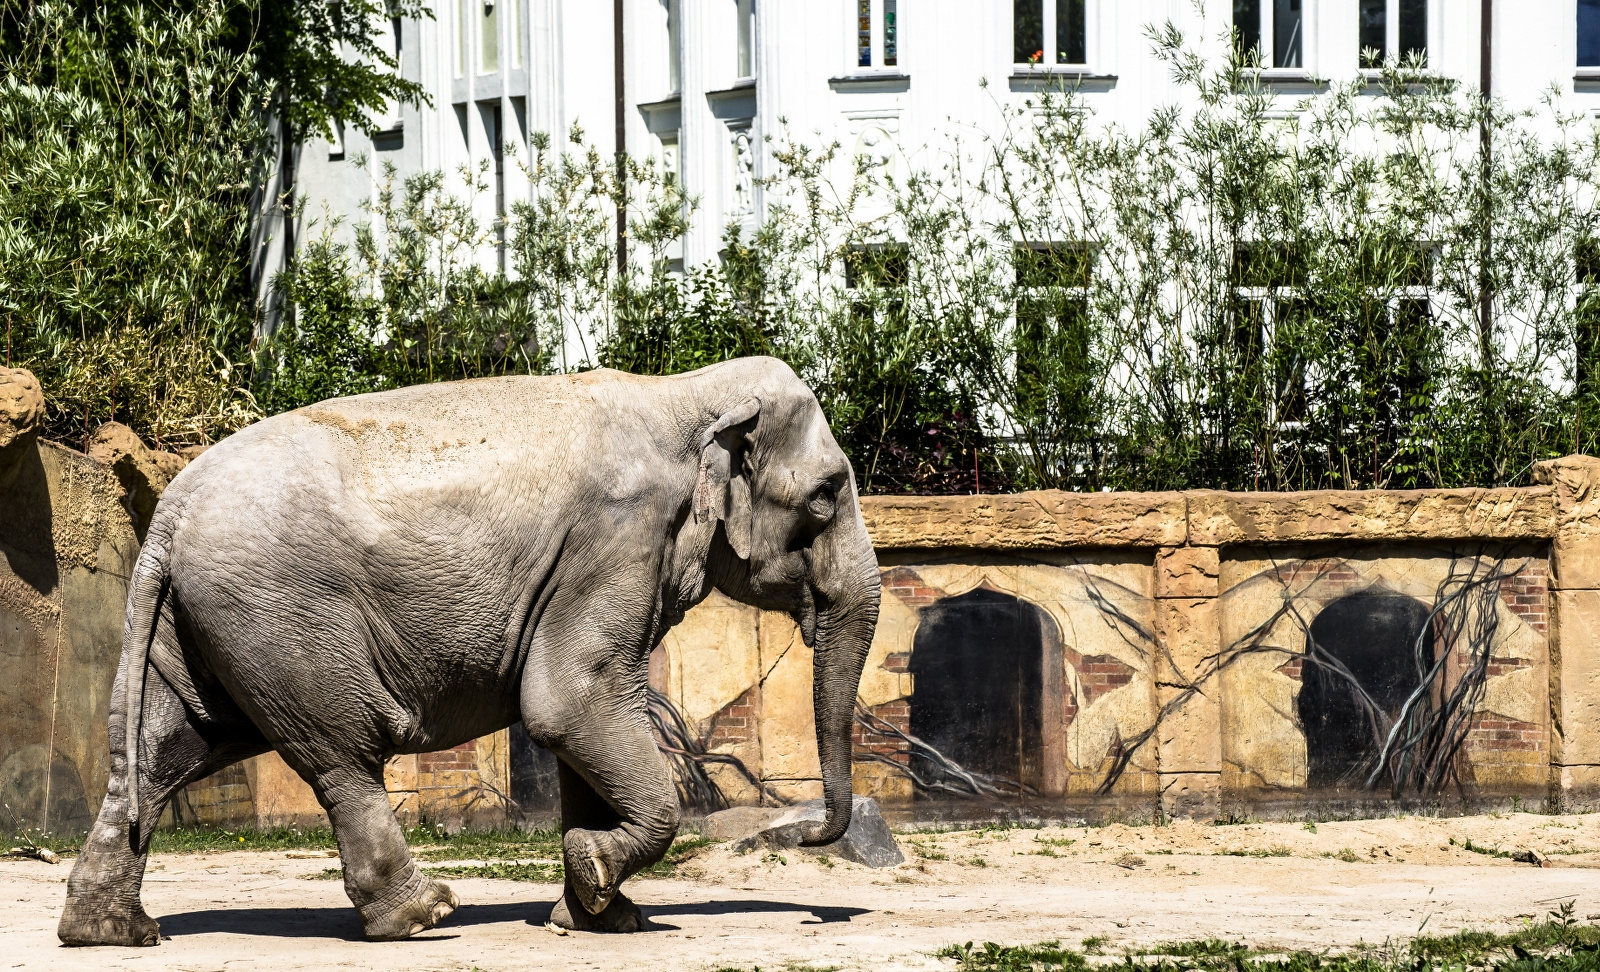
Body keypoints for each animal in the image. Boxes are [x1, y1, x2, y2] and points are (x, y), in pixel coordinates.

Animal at [56, 354, 883, 940]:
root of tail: (169, 510)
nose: (808, 834)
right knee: (340, 755)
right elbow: (569, 704)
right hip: (281, 618)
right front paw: (596, 879)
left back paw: (113, 934)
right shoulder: (617, 541)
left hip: (201, 622)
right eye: (826, 495)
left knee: (165, 751)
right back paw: (424, 916)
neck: (686, 392)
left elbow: (579, 727)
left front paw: (601, 914)